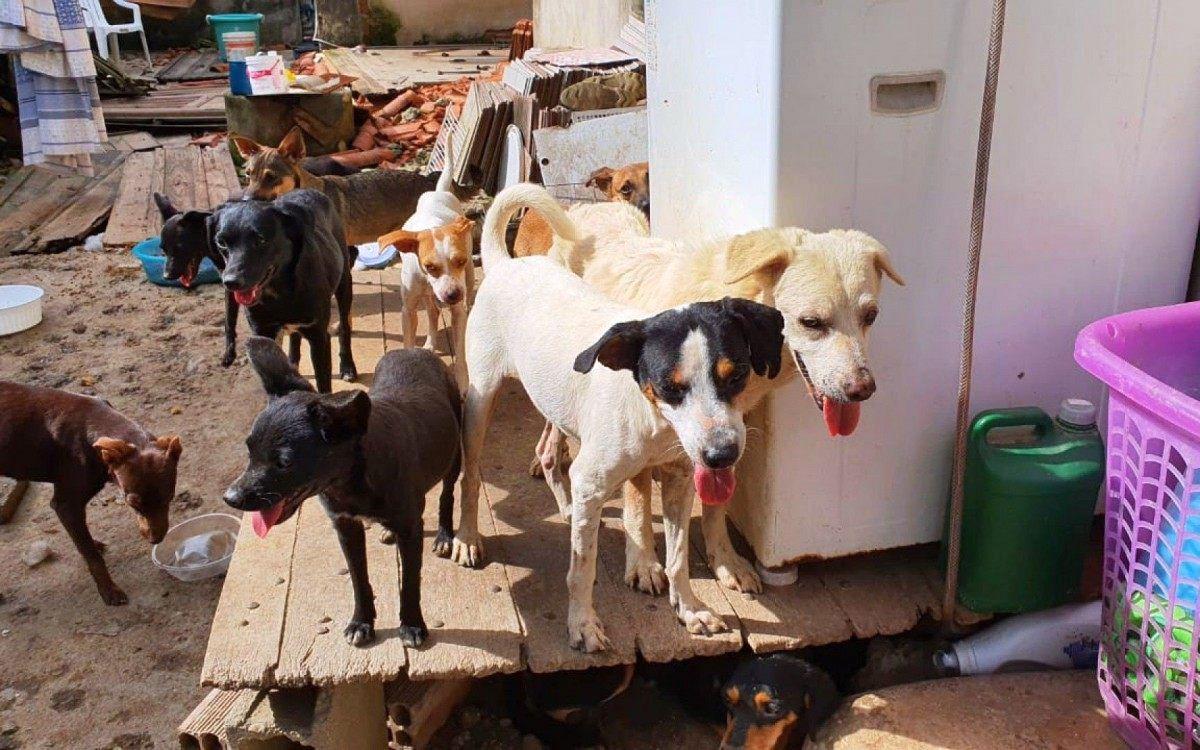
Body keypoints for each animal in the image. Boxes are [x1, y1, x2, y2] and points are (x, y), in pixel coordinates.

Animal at [0, 384, 182, 604]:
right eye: (132, 504)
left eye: (169, 498)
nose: (155, 540)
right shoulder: (66, 505)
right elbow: (92, 556)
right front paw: (109, 590)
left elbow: (85, 543)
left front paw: (92, 543)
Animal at [223, 336, 460, 648]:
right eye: (248, 450)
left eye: (284, 462)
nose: (230, 498)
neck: (350, 482)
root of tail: (415, 350)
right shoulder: (345, 526)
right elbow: (359, 578)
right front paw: (361, 622)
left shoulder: (410, 529)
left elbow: (410, 582)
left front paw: (411, 624)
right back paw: (388, 531)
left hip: (456, 456)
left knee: (448, 494)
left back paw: (444, 535)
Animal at [453, 182, 782, 648]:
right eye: (670, 386)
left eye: (735, 374)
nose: (723, 456)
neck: (655, 424)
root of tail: (505, 264)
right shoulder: (593, 479)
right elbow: (582, 567)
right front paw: (582, 625)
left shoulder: (680, 480)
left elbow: (678, 558)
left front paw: (690, 611)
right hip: (480, 401)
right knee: (471, 475)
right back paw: (467, 538)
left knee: (550, 452)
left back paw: (566, 507)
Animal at [530, 188, 902, 597]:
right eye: (811, 322)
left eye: (871, 317)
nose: (863, 390)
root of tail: (585, 206)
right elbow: (638, 501)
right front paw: (643, 562)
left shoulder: (729, 429)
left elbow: (716, 507)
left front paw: (725, 561)